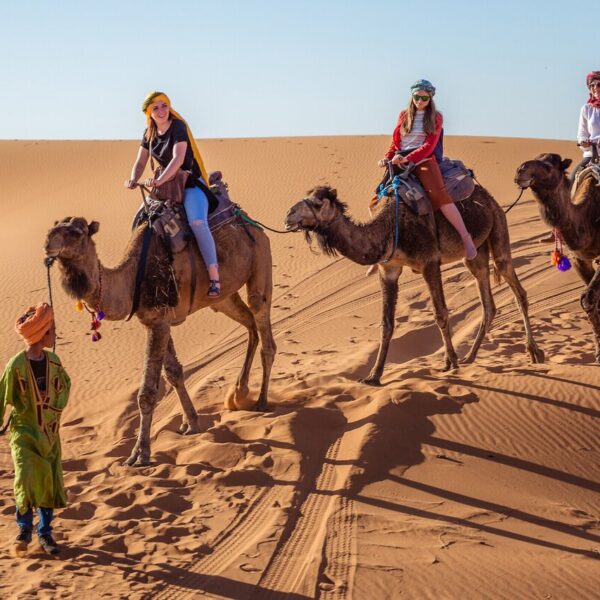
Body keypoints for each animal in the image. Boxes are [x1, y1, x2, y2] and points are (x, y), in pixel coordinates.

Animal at [44, 213, 276, 466]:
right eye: (54, 226)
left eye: (77, 232)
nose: (48, 242)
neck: (131, 279)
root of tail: (256, 227)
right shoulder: (158, 321)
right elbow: (174, 373)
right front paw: (191, 423)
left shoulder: (158, 321)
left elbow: (147, 393)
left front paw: (139, 454)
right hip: (223, 298)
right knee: (250, 325)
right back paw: (239, 392)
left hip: (260, 261)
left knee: (264, 333)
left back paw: (261, 401)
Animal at [286, 183, 544, 384]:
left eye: (317, 204)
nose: (289, 214)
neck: (388, 229)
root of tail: (489, 199)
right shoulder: (388, 268)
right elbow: (386, 324)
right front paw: (373, 375)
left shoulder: (429, 262)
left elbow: (440, 314)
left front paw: (450, 362)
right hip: (475, 253)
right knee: (487, 300)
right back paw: (470, 356)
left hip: (498, 230)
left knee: (516, 287)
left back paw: (534, 352)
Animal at [512, 152, 600, 364]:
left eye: (548, 166)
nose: (520, 171)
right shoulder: (579, 259)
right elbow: (591, 301)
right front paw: (598, 351)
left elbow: (588, 299)